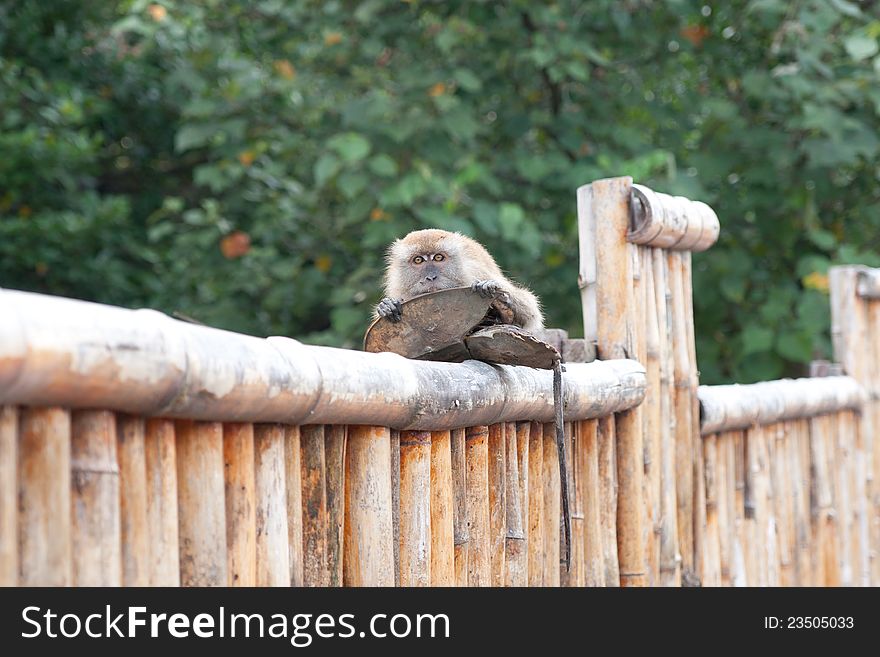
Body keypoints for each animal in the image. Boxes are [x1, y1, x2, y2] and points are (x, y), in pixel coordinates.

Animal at [376, 231, 544, 334]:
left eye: (438, 257)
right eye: (418, 260)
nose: (431, 277)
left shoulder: (477, 271)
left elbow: (530, 313)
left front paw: (496, 293)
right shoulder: (399, 288)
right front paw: (387, 306)